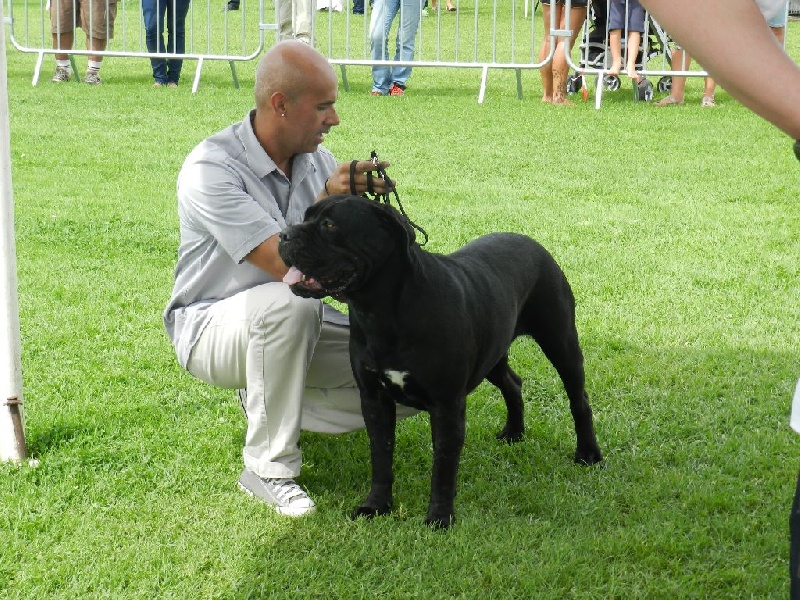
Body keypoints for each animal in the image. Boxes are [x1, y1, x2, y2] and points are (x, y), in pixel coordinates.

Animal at [278, 194, 603, 528]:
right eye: (305, 217)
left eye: (329, 225)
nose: (284, 235)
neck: (382, 311)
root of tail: (532, 243)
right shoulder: (373, 398)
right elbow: (381, 457)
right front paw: (376, 506)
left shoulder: (447, 404)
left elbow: (444, 464)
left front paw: (439, 517)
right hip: (493, 354)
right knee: (512, 383)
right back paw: (514, 432)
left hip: (560, 341)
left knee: (579, 399)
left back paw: (588, 453)